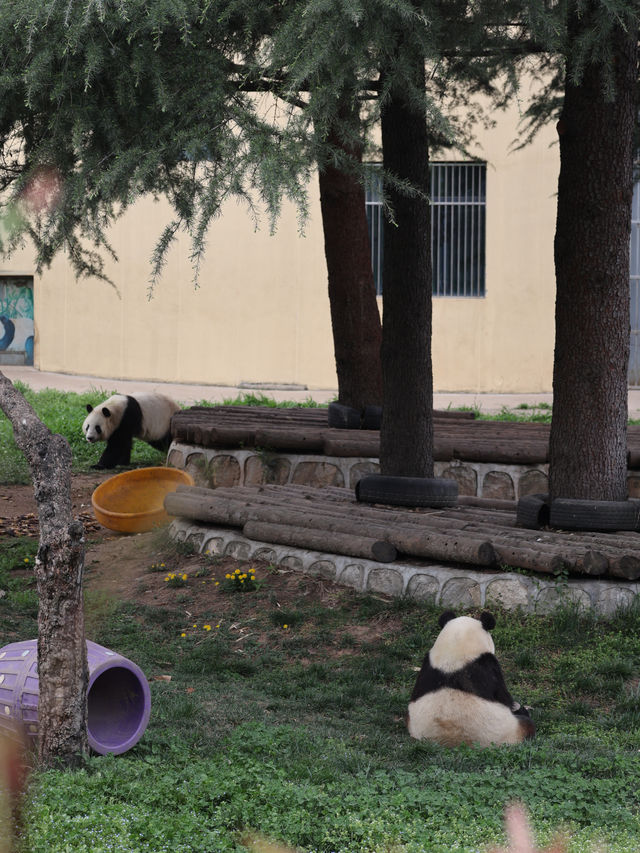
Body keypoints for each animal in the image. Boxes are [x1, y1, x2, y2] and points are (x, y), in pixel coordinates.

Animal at [408, 612, 536, 744]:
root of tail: (450, 740)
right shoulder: (487, 667)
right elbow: (503, 696)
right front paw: (516, 706)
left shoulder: (428, 664)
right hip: (508, 731)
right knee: (527, 723)